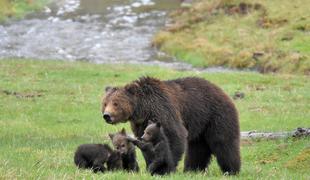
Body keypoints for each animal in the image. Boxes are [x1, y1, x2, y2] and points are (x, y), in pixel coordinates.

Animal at [102, 76, 242, 174]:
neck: (142, 109)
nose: (106, 115)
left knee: (223, 143)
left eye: (116, 103)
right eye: (105, 103)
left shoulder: (162, 110)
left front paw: (165, 169)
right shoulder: (141, 124)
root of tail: (222, 91)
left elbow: (175, 136)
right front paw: (150, 165)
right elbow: (146, 144)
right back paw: (193, 169)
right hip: (200, 125)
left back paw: (231, 170)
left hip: (216, 116)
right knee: (197, 148)